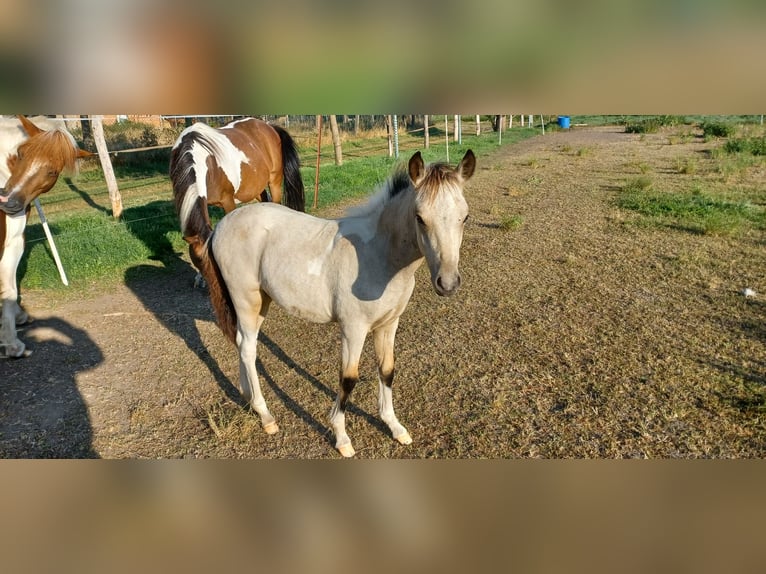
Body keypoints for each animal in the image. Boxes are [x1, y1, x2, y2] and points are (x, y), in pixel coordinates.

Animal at [0, 116, 91, 360]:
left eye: (52, 172)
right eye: (21, 153)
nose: (9, 203)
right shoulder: (12, 243)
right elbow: (9, 290)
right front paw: (13, 344)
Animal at [183, 148, 476, 460]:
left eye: (465, 217)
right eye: (419, 217)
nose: (448, 283)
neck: (378, 255)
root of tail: (220, 227)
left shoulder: (388, 324)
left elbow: (387, 370)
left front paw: (395, 427)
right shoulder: (353, 328)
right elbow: (348, 378)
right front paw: (342, 437)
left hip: (262, 300)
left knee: (241, 343)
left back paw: (247, 397)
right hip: (245, 299)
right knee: (249, 348)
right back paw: (266, 416)